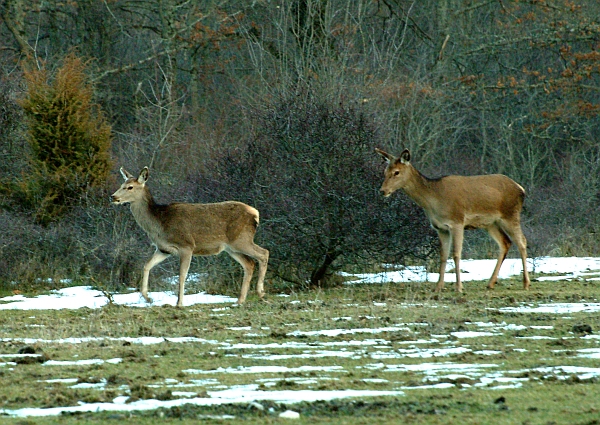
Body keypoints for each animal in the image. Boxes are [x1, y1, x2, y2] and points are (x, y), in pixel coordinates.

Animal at [110, 167, 270, 306]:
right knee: (249, 264)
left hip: (241, 239)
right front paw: (147, 297)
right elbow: (147, 265)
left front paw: (179, 303)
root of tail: (255, 213)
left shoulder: (186, 245)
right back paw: (240, 300)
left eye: (130, 187)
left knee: (264, 253)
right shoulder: (164, 249)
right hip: (231, 247)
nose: (113, 196)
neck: (160, 223)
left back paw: (261, 292)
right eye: (122, 184)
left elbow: (182, 275)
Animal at [376, 148, 528, 292]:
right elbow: (443, 256)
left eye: (396, 172)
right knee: (505, 242)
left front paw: (459, 287)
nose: (382, 190)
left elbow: (456, 254)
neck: (434, 200)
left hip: (510, 215)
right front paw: (438, 287)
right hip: (490, 223)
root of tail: (521, 189)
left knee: (522, 242)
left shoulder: (457, 222)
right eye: (385, 171)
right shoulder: (440, 228)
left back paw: (526, 283)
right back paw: (490, 283)